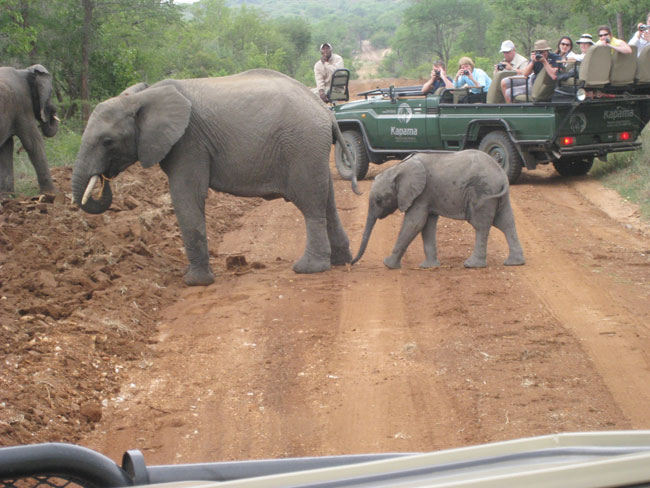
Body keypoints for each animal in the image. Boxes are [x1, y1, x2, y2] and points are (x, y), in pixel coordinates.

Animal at [0, 64, 58, 194]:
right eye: (51, 92)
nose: (53, 109)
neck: (25, 70)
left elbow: (6, 147)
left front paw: (7, 195)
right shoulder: (23, 105)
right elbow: (33, 143)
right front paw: (51, 193)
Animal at [73, 70, 362, 288]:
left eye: (107, 142)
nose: (104, 178)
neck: (140, 97)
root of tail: (326, 111)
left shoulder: (188, 142)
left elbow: (186, 195)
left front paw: (194, 283)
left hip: (302, 145)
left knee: (310, 203)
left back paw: (308, 269)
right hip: (311, 149)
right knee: (327, 200)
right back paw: (340, 262)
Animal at [352, 151, 524, 268]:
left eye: (378, 200)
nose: (352, 263)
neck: (398, 168)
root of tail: (502, 174)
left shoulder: (421, 194)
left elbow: (414, 223)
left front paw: (388, 265)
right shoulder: (428, 196)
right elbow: (426, 225)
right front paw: (429, 267)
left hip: (483, 192)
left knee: (481, 226)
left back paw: (472, 265)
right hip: (498, 195)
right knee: (506, 222)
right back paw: (514, 263)